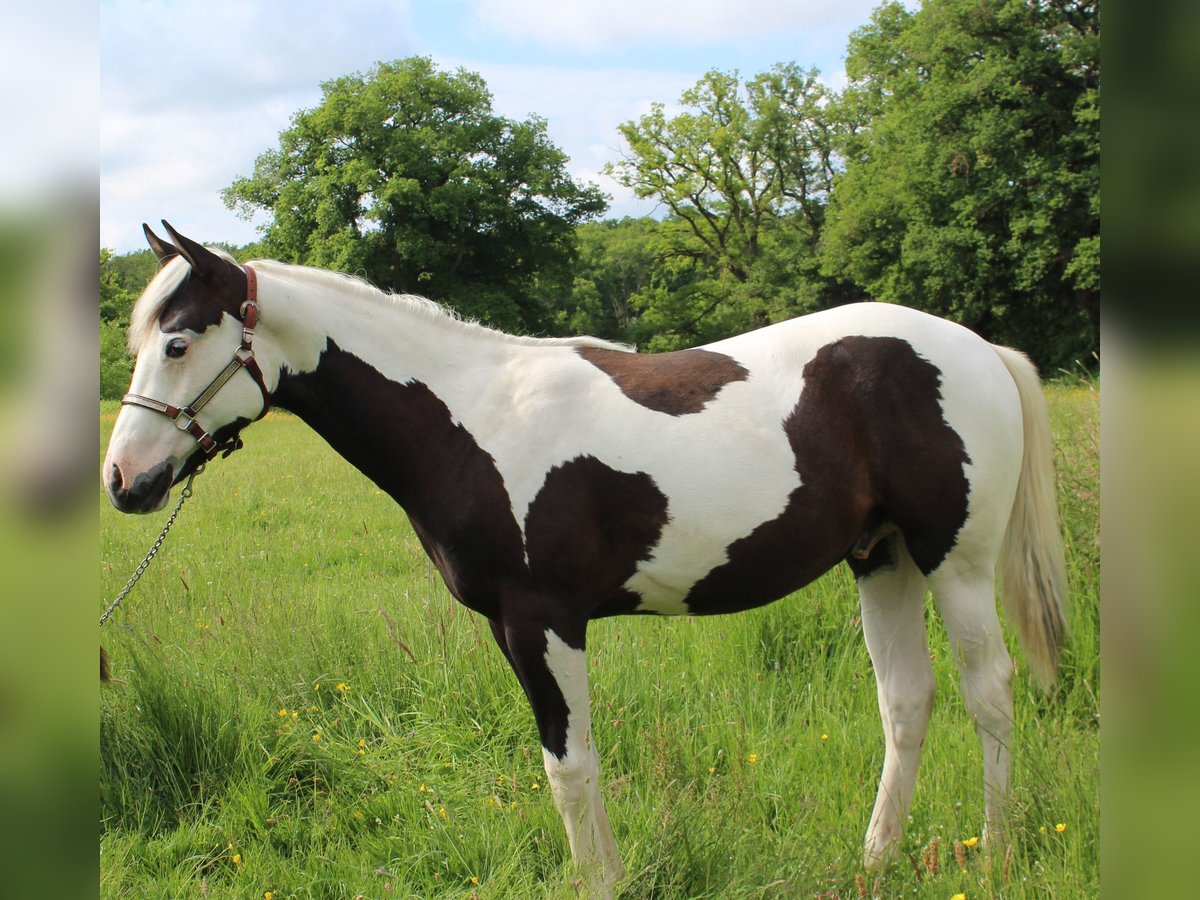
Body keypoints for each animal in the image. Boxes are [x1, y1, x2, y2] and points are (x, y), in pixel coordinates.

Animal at [103, 222, 1067, 895]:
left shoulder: (541, 621)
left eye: (179, 342)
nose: (123, 481)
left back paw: (996, 857)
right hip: (884, 559)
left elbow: (569, 768)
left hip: (956, 563)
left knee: (989, 694)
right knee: (906, 702)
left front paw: (599, 881)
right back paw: (875, 860)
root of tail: (977, 349)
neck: (469, 418)